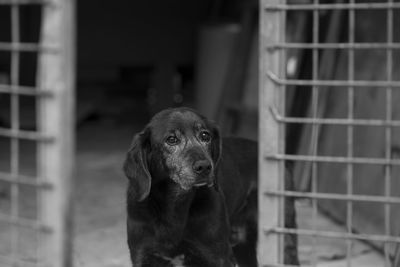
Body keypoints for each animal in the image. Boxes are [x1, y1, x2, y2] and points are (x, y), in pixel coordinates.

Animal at [123, 108, 298, 266]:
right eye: (171, 139)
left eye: (205, 135)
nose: (205, 167)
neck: (176, 204)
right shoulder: (144, 256)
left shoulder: (216, 257)